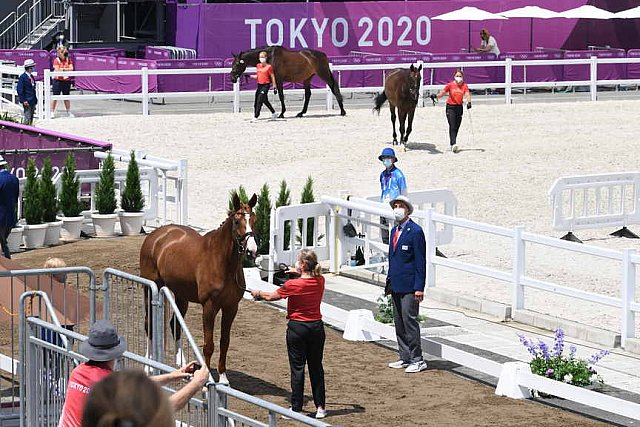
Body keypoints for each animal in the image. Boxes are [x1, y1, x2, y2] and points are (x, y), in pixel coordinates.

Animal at [141, 192, 258, 386]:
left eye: (254, 220)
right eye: (236, 221)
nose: (252, 250)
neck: (223, 263)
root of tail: (157, 234)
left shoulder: (231, 307)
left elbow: (224, 342)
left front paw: (223, 378)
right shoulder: (209, 307)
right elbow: (208, 345)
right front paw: (206, 379)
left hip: (181, 296)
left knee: (174, 324)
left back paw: (181, 362)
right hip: (150, 288)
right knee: (149, 324)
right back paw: (148, 366)